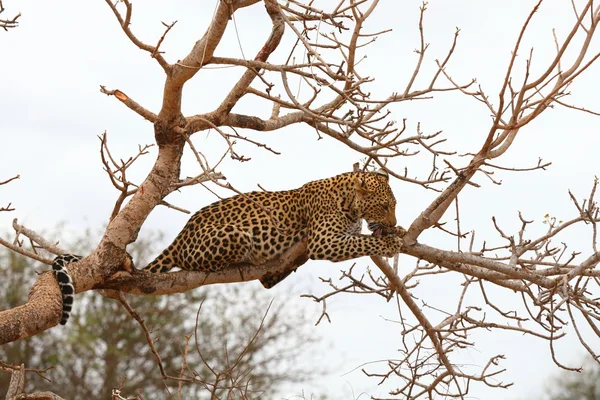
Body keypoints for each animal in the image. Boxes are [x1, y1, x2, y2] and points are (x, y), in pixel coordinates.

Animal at [51, 167, 406, 324]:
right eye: (384, 205)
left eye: (393, 206)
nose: (392, 220)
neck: (351, 203)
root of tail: (182, 234)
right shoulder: (325, 241)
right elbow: (359, 242)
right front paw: (391, 240)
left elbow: (360, 238)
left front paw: (396, 232)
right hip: (234, 236)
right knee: (197, 263)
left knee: (267, 281)